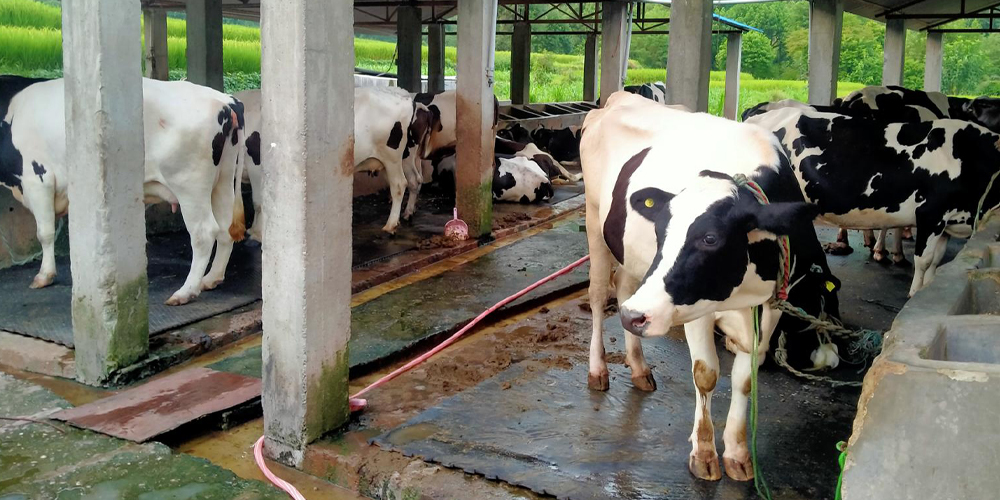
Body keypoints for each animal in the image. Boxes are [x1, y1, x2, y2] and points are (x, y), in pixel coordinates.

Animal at [0, 76, 245, 306]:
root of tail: (226, 101)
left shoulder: (38, 179)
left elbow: (44, 233)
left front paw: (44, 275)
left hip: (189, 184)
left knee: (204, 233)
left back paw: (186, 291)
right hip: (223, 179)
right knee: (225, 228)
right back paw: (211, 278)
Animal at [238, 86, 425, 240]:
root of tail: (405, 98)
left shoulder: (256, 165)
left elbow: (258, 202)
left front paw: (257, 233)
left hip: (392, 157)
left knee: (399, 185)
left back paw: (391, 225)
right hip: (394, 159)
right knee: (414, 180)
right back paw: (407, 213)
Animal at [582, 91, 841, 481]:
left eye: (710, 239)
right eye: (662, 231)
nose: (637, 317)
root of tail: (617, 97)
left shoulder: (769, 308)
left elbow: (746, 378)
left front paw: (737, 453)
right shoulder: (695, 309)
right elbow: (706, 375)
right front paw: (704, 454)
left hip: (631, 255)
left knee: (625, 291)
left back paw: (639, 367)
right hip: (594, 220)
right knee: (600, 296)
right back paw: (598, 369)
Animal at [748, 106, 1000, 297]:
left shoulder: (948, 222)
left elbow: (936, 261)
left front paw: (926, 290)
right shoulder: (931, 214)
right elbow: (924, 260)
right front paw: (913, 294)